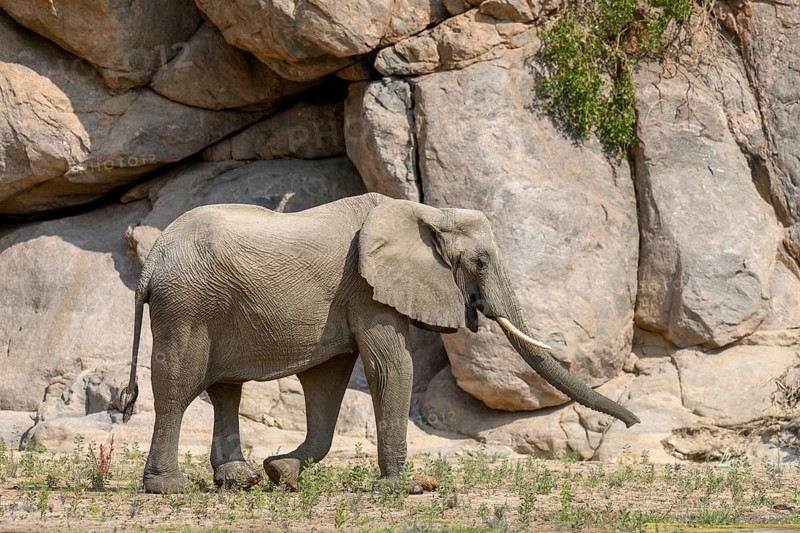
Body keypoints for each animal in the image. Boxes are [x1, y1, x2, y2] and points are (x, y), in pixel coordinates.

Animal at [120, 192, 639, 494]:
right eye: (482, 261)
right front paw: (402, 489)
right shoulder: (366, 286)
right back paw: (170, 488)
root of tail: (152, 260)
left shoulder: (349, 295)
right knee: (177, 388)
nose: (632, 422)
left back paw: (239, 480)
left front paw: (281, 472)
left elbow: (327, 381)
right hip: (187, 305)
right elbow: (390, 367)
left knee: (225, 388)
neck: (427, 212)